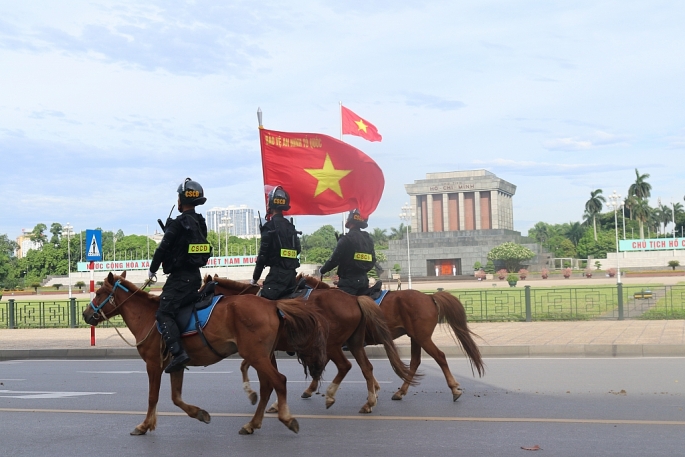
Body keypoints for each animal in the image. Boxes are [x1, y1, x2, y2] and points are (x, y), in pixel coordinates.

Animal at [81, 270, 328, 434]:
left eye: (100, 292)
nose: (85, 314)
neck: (149, 316)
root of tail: (272, 305)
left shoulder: (153, 364)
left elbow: (153, 396)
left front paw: (144, 425)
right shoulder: (176, 365)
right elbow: (176, 398)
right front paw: (199, 413)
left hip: (256, 355)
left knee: (279, 380)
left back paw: (286, 417)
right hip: (262, 355)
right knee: (269, 385)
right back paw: (253, 422)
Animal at [204, 274, 416, 414]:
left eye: (203, 292)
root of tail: (355, 299)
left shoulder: (261, 349)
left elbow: (252, 368)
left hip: (332, 344)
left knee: (345, 366)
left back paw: (331, 395)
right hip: (353, 343)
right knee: (366, 367)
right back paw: (369, 400)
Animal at [300, 274, 486, 400]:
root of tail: (429, 297)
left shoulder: (334, 343)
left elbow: (325, 362)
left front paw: (310, 388)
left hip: (422, 337)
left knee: (439, 357)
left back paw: (453, 388)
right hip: (415, 337)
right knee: (415, 362)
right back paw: (401, 391)